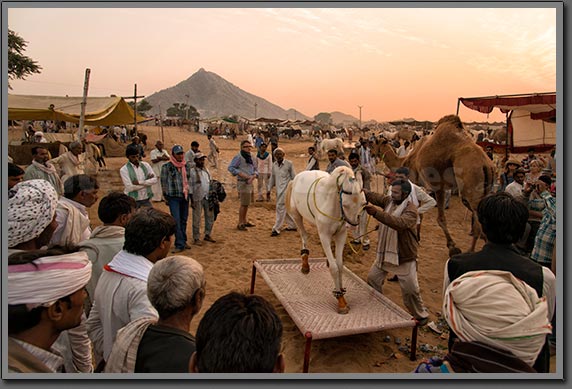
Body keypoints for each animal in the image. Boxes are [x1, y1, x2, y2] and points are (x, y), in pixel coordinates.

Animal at [286, 165, 366, 314]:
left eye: (363, 203)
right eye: (345, 204)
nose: (353, 225)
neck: (333, 204)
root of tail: (296, 178)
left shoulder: (341, 235)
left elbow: (339, 265)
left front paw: (341, 293)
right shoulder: (324, 236)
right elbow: (334, 268)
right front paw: (340, 301)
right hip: (296, 216)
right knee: (304, 235)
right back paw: (305, 264)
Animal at [374, 113, 494, 256]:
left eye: (373, 143)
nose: (372, 154)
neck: (404, 161)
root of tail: (486, 164)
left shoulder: (424, 184)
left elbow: (429, 215)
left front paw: (452, 247)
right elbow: (421, 213)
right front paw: (418, 236)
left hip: (470, 186)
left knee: (477, 217)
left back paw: (471, 251)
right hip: (484, 189)